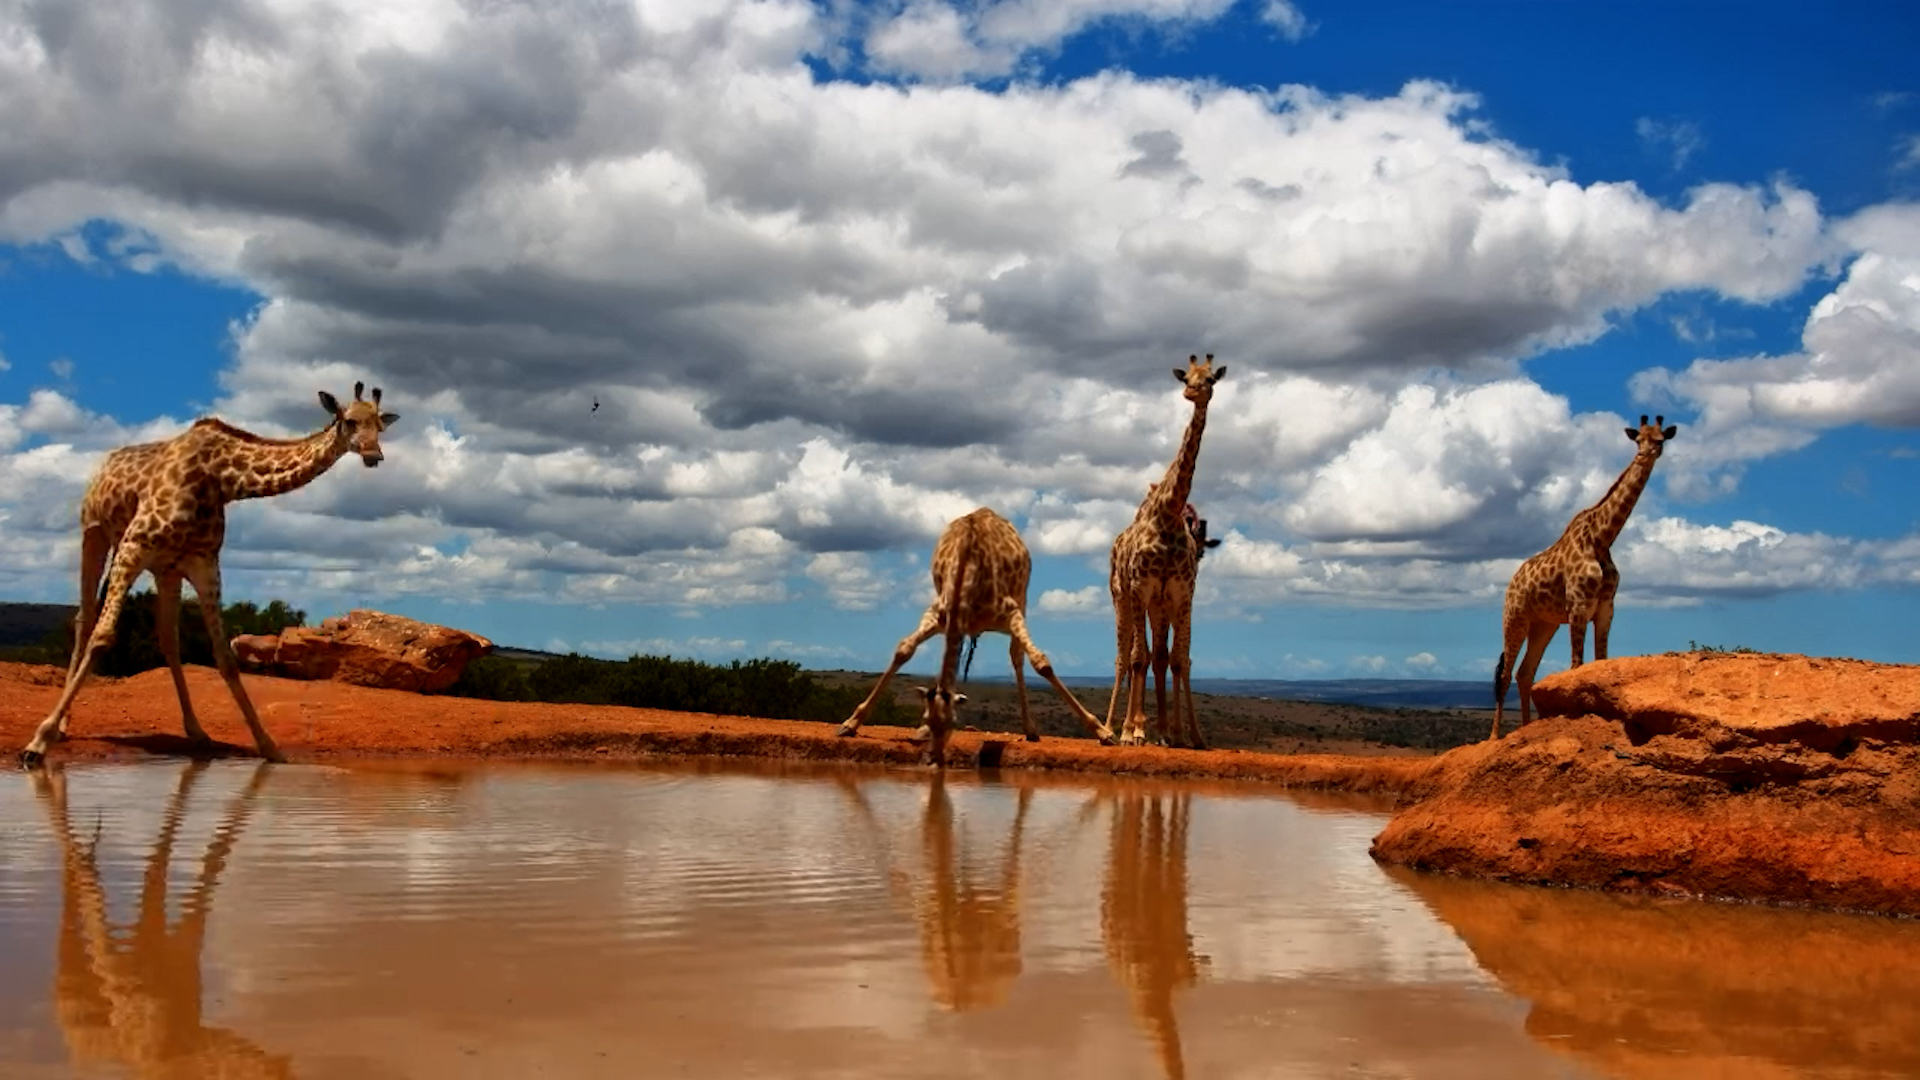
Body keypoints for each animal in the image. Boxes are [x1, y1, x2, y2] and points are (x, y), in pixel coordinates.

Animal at [20, 383, 401, 767]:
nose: (374, 454)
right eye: (350, 421)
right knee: (85, 620)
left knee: (167, 638)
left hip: (165, 570)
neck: (221, 478)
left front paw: (269, 747)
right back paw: (62, 726)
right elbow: (102, 636)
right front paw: (38, 742)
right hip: (95, 535)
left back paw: (197, 731)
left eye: (380, 425)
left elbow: (224, 657)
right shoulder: (133, 545)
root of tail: (103, 465)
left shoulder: (203, 564)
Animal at [838, 507, 1113, 765]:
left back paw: (1031, 730)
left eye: (953, 723)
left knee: (1017, 657)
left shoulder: (1011, 612)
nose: (932, 760)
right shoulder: (938, 614)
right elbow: (903, 649)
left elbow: (1041, 663)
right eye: (927, 717)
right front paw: (850, 724)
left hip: (1022, 599)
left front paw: (1103, 732)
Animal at [1106, 354, 1226, 748]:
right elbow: (1138, 658)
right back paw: (1113, 729)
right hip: (1122, 598)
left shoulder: (1179, 593)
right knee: (1125, 658)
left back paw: (1157, 730)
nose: (1193, 392)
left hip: (1158, 605)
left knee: (1157, 657)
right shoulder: (1140, 589)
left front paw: (1187, 735)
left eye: (1211, 380)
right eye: (1186, 377)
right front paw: (1133, 731)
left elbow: (1178, 659)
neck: (1169, 512)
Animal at [1490, 413, 1678, 740]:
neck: (1602, 539)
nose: (1644, 456)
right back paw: (1494, 737)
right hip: (1515, 618)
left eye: (1660, 440)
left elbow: (1599, 660)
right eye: (1638, 440)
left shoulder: (1606, 607)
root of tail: (1511, 581)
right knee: (1505, 673)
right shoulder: (1578, 605)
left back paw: (1524, 730)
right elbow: (1576, 664)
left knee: (1525, 672)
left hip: (1545, 623)